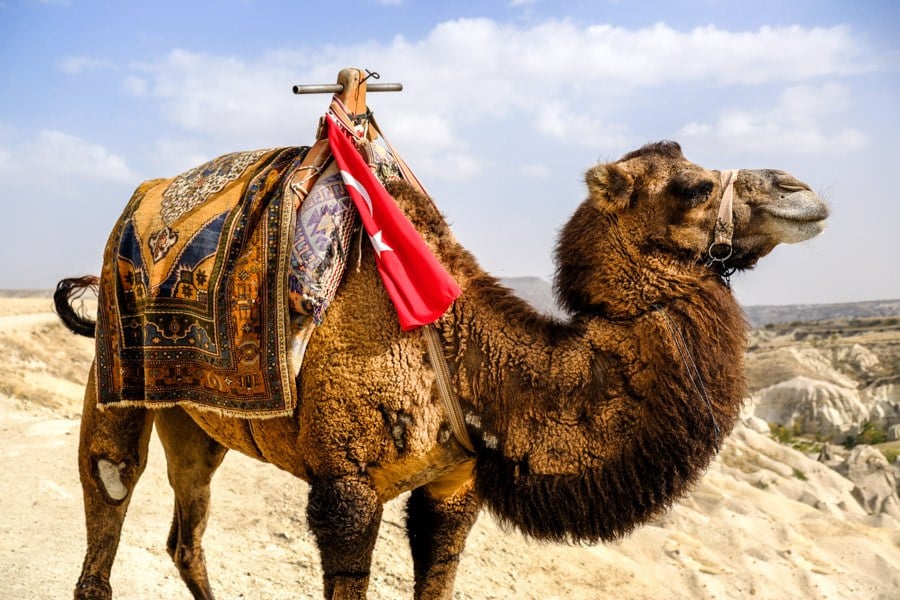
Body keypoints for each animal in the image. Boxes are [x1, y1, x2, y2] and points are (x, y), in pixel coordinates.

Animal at [56, 138, 828, 596]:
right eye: (692, 187)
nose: (800, 190)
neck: (464, 355)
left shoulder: (455, 487)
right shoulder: (346, 488)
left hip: (197, 425)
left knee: (186, 535)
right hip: (117, 382)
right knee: (110, 494)